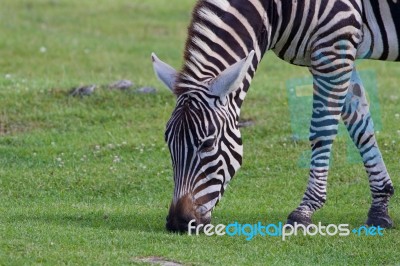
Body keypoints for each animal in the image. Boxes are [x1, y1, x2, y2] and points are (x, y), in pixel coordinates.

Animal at [152, 0, 398, 232]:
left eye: (207, 144)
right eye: (169, 143)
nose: (178, 222)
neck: (275, 10)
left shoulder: (333, 47)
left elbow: (322, 130)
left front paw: (305, 210)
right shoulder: (331, 54)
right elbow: (360, 126)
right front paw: (379, 208)